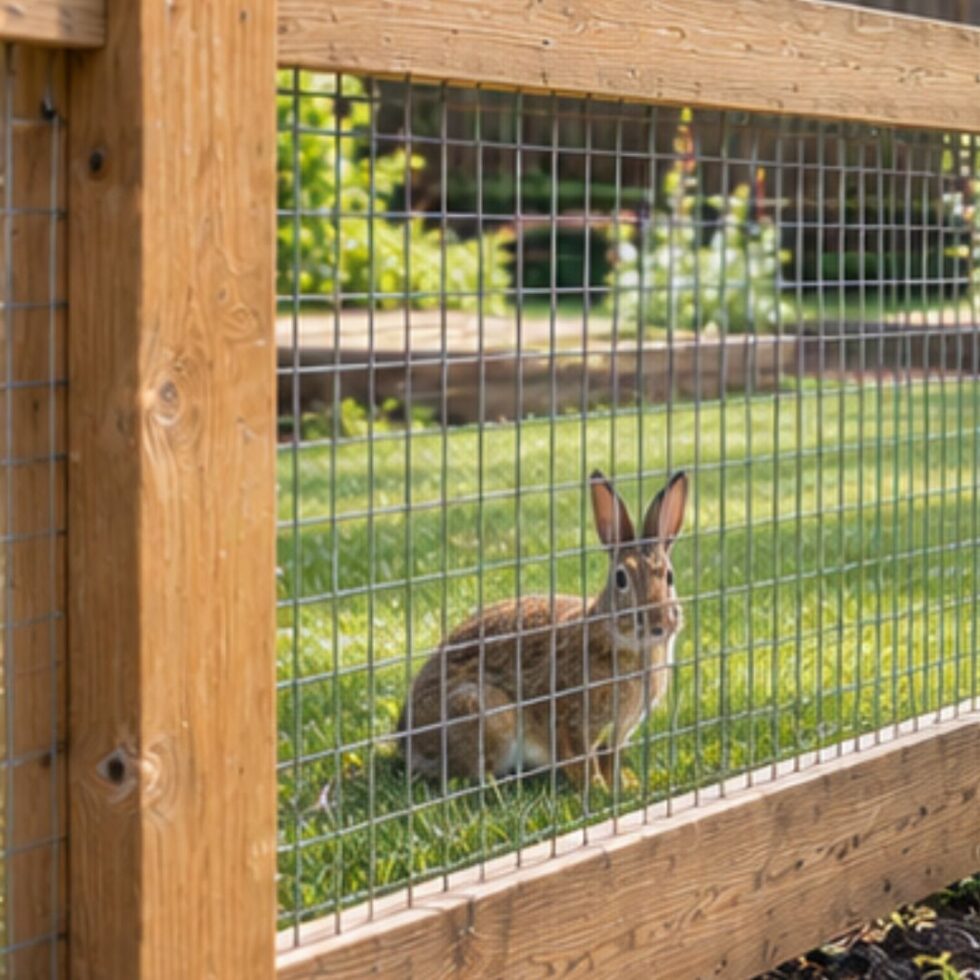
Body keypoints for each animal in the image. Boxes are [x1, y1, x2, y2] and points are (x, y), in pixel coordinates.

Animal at [397, 469, 688, 791]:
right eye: (621, 579)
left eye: (670, 577)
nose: (659, 624)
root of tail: (406, 740)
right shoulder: (569, 720)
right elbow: (581, 760)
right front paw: (597, 790)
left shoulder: (617, 732)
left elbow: (609, 759)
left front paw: (623, 786)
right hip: (483, 712)